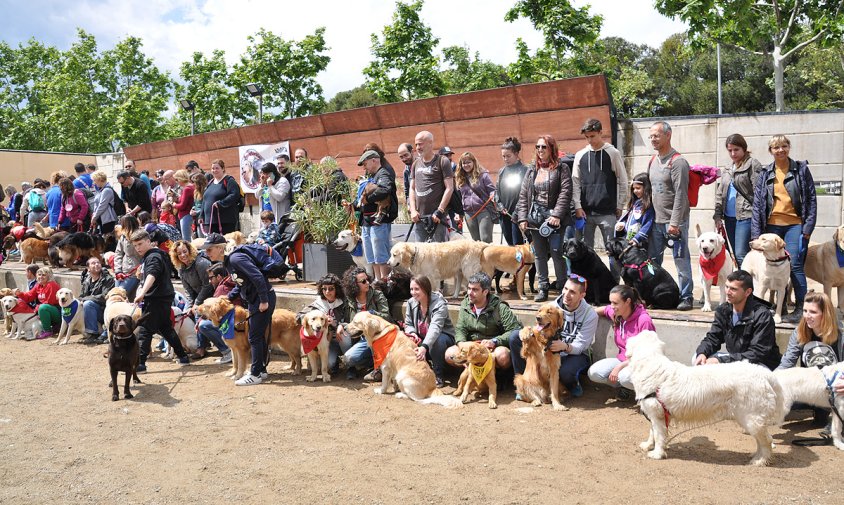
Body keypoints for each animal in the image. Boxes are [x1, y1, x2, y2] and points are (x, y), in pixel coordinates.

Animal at [628, 330, 784, 464]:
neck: (650, 362)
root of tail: (765, 374)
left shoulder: (657, 414)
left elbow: (659, 435)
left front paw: (657, 453)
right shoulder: (657, 413)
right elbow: (652, 431)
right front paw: (647, 445)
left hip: (752, 418)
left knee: (767, 440)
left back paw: (760, 460)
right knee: (760, 440)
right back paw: (755, 455)